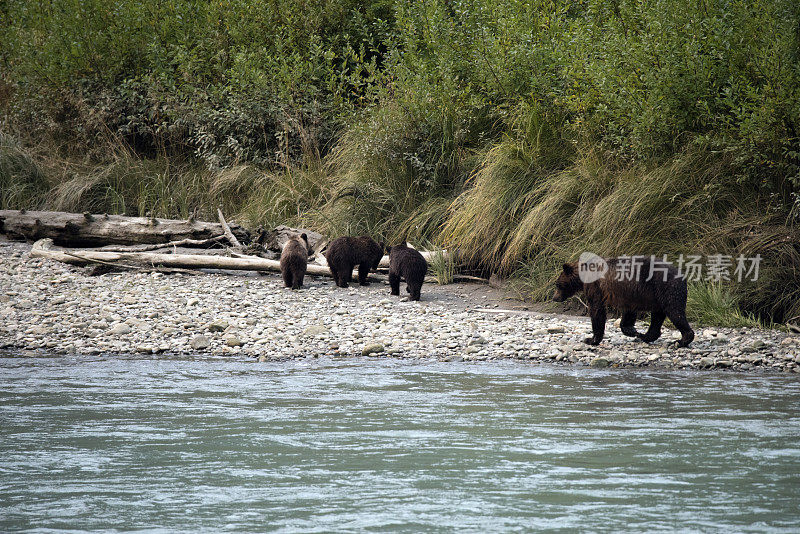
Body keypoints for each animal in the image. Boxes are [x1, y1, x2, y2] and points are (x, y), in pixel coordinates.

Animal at [556, 258, 692, 350]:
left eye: (557, 285)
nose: (554, 297)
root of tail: (682, 275)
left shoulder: (596, 287)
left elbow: (596, 309)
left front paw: (591, 339)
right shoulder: (628, 293)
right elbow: (628, 312)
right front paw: (632, 330)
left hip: (667, 288)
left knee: (675, 311)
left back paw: (681, 341)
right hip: (658, 296)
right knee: (657, 316)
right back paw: (645, 336)